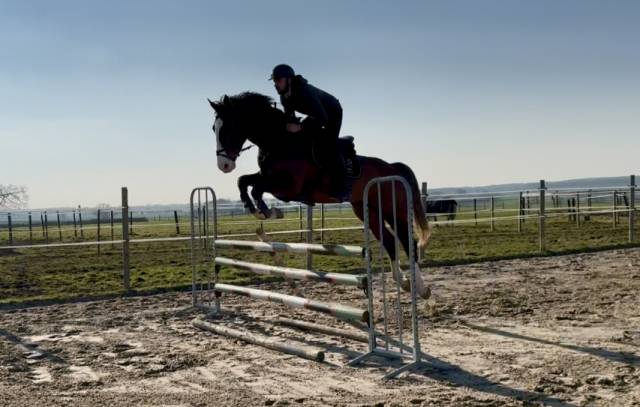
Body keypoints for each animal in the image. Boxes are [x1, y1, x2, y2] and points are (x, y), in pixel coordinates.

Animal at [208, 92, 431, 298]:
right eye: (214, 129)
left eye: (228, 128)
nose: (224, 165)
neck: (280, 141)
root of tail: (392, 167)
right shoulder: (269, 178)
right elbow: (244, 181)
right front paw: (256, 209)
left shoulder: (289, 187)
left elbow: (257, 188)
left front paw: (268, 211)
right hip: (368, 211)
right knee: (390, 242)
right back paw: (403, 282)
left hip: (393, 209)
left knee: (407, 242)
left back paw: (420, 288)